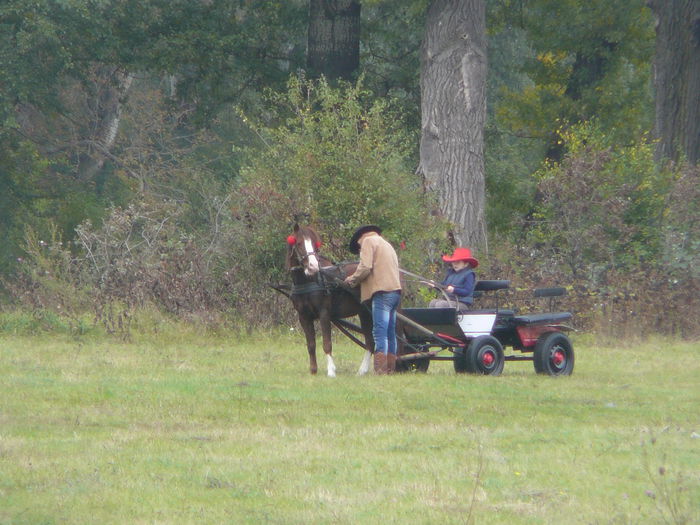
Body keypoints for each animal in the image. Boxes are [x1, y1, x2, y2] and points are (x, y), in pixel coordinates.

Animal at [284, 223, 374, 374]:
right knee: (370, 342)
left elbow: (327, 344)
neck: (309, 281)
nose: (313, 266)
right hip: (364, 313)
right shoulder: (303, 316)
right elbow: (311, 344)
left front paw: (331, 370)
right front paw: (313, 370)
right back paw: (363, 370)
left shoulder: (324, 313)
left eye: (314, 244)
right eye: (299, 243)